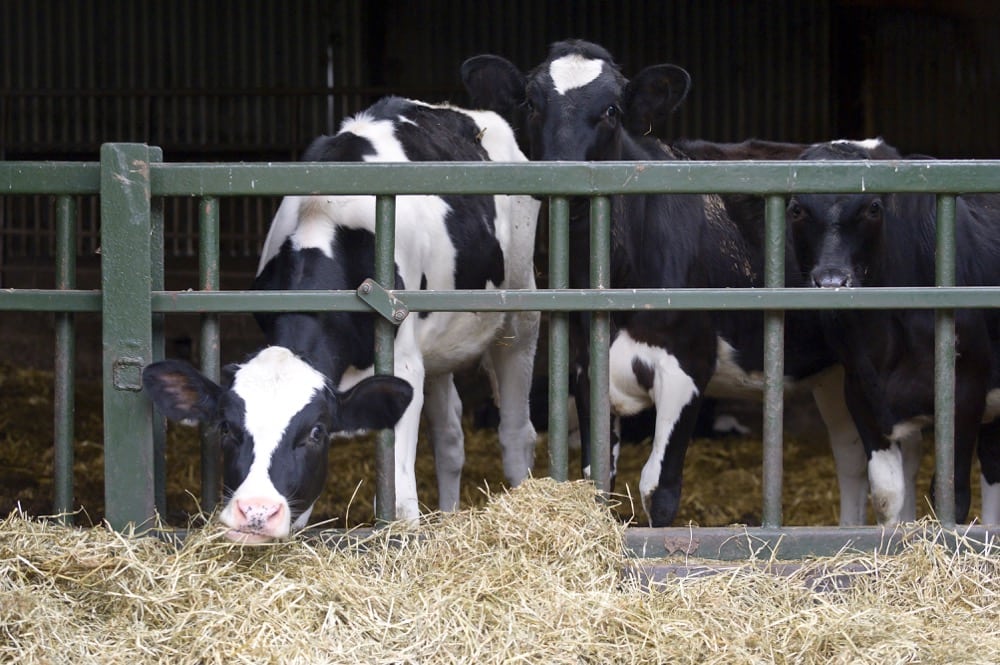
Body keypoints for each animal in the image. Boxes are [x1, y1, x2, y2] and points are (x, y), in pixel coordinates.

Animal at [142, 96, 541, 542]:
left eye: (315, 432)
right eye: (227, 428)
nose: (257, 511)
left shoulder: (403, 361)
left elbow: (400, 496)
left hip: (520, 313)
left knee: (516, 433)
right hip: (438, 348)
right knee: (451, 438)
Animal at [461, 39, 868, 527]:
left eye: (612, 110)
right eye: (530, 103)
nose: (563, 172)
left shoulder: (688, 364)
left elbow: (659, 488)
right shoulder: (586, 365)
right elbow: (598, 479)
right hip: (831, 369)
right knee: (851, 454)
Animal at [787, 138, 1000, 524]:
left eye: (873, 208)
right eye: (796, 209)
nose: (832, 281)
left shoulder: (966, 388)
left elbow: (952, 495)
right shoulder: (861, 389)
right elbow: (887, 494)